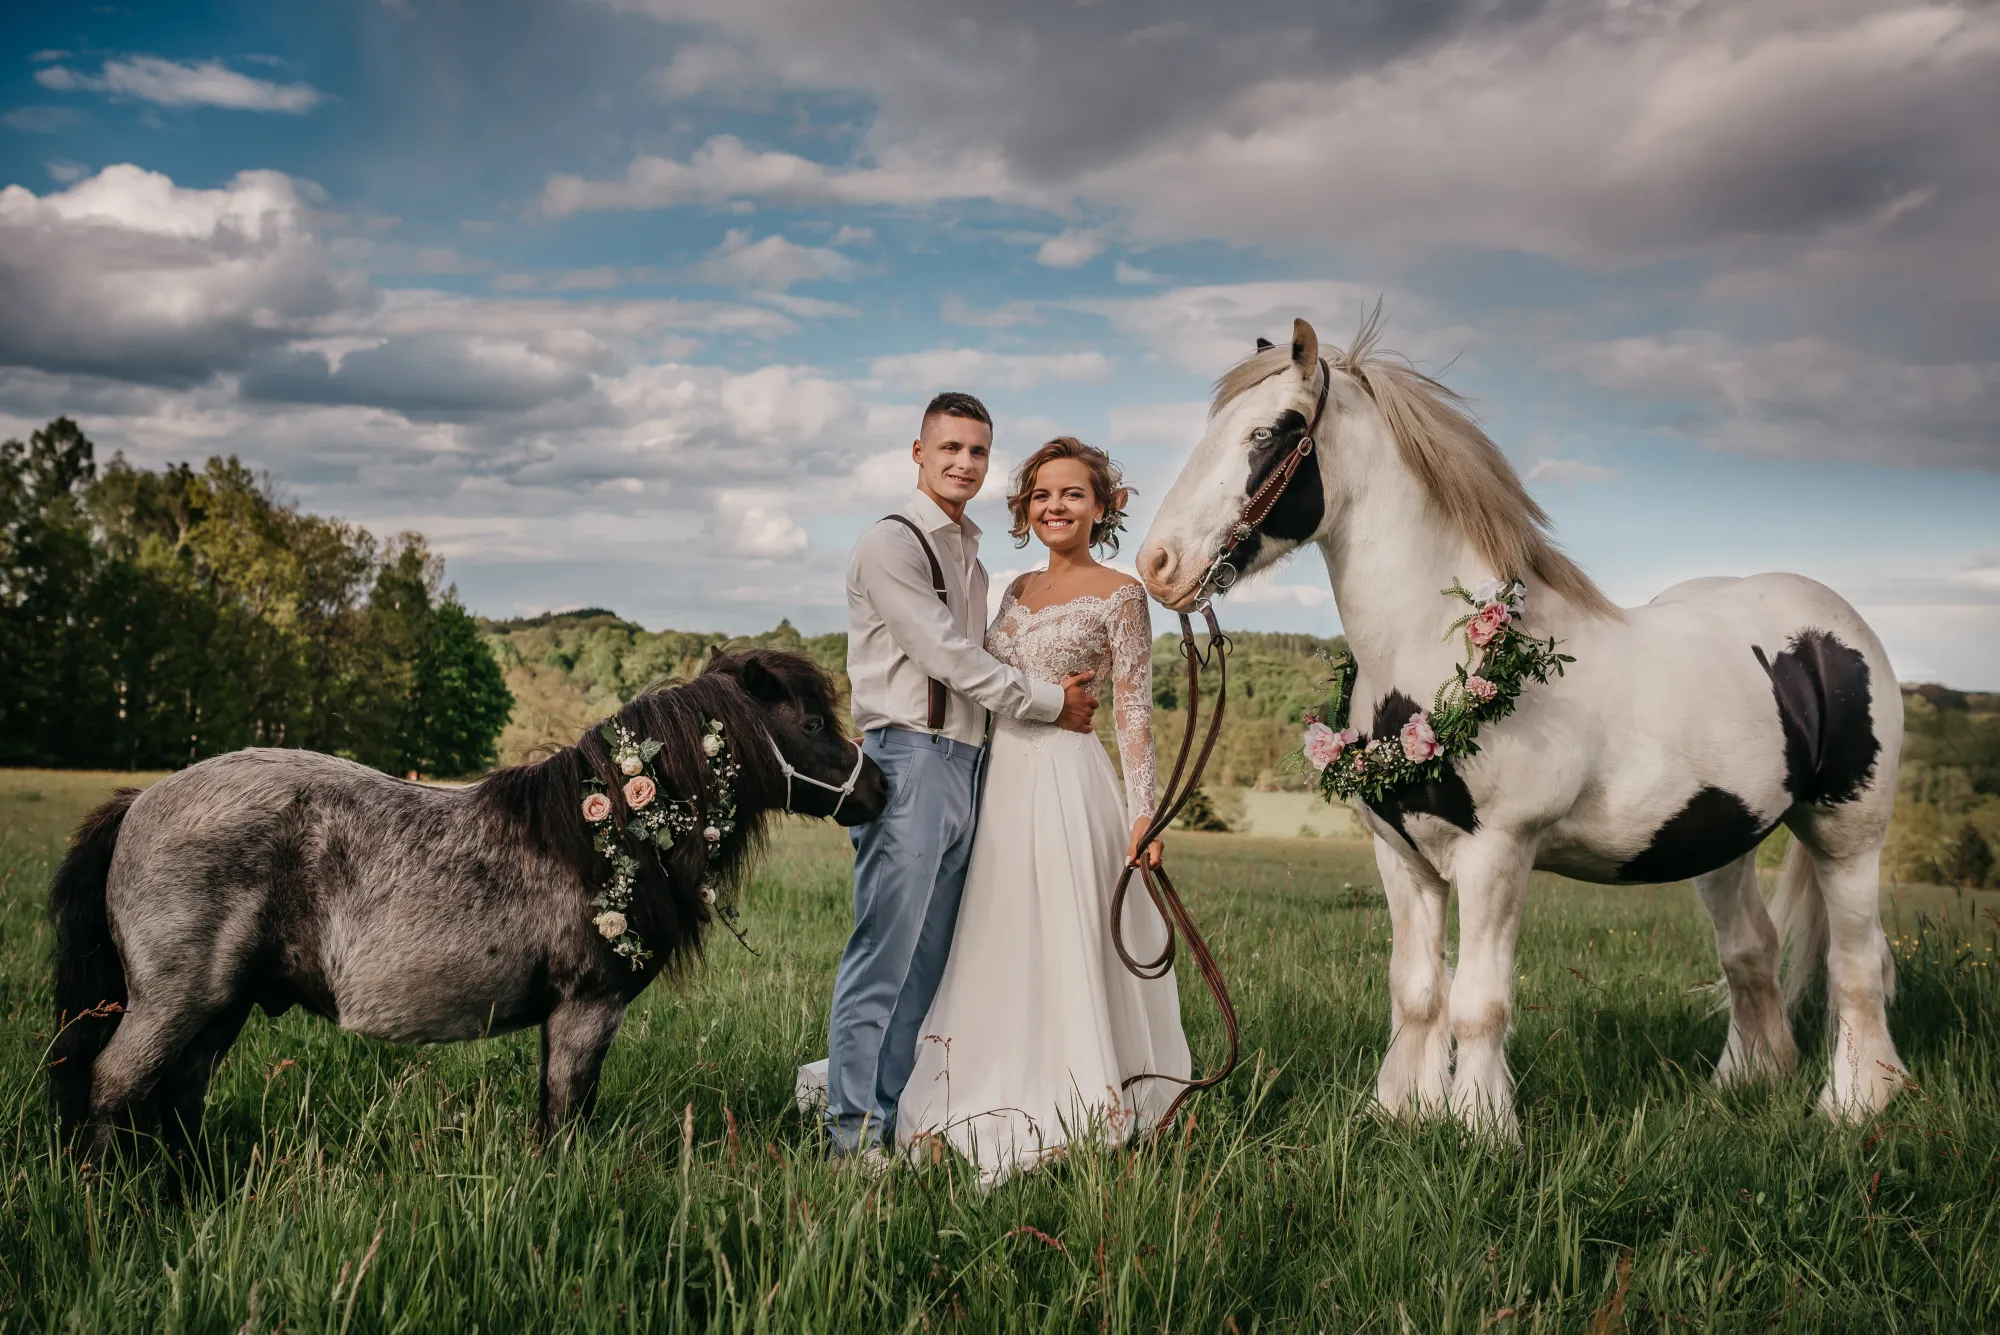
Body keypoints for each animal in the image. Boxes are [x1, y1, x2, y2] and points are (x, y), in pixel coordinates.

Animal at [48, 648, 887, 1165]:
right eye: (813, 723)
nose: (879, 788)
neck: (602, 832)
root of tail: (138, 802)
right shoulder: (587, 1009)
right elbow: (566, 1114)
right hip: (174, 1003)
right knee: (115, 1086)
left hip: (222, 1006)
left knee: (180, 1094)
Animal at [1136, 313, 1905, 1137]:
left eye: (1268, 432)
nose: (1159, 564)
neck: (1444, 652)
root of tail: (1833, 626)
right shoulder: (1402, 859)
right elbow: (1416, 991)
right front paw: (1400, 1113)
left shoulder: (1497, 854)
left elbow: (1478, 1002)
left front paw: (1481, 1125)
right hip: (1724, 843)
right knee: (1751, 952)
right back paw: (1742, 1084)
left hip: (1847, 834)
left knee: (1858, 964)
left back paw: (1857, 1104)